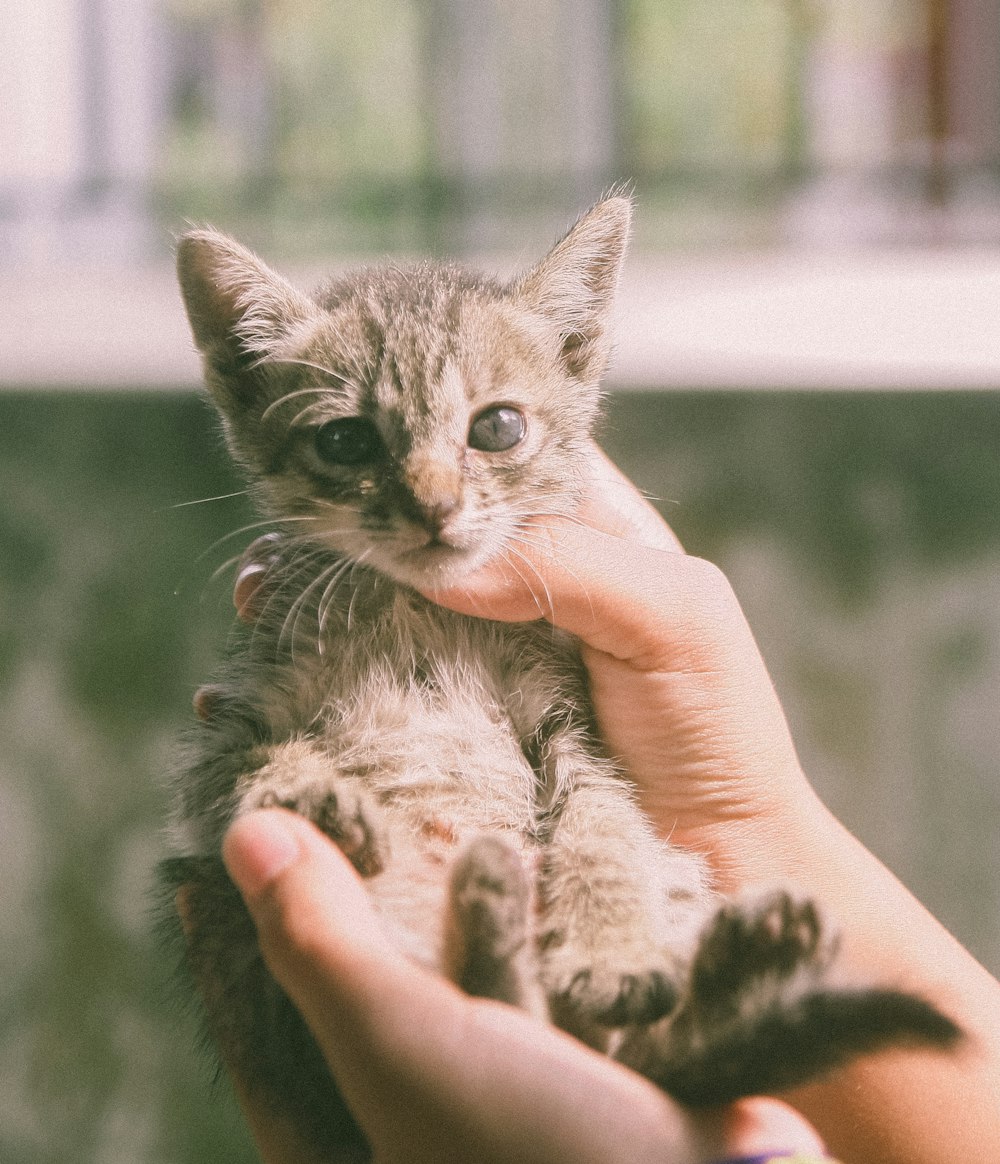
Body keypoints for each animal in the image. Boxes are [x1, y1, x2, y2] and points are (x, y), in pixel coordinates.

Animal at [164, 200, 963, 1154]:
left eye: (496, 428)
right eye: (345, 439)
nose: (434, 506)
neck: (418, 611)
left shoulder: (570, 721)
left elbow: (602, 825)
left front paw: (611, 947)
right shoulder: (232, 717)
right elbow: (238, 767)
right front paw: (308, 789)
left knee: (616, 1042)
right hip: (231, 934)